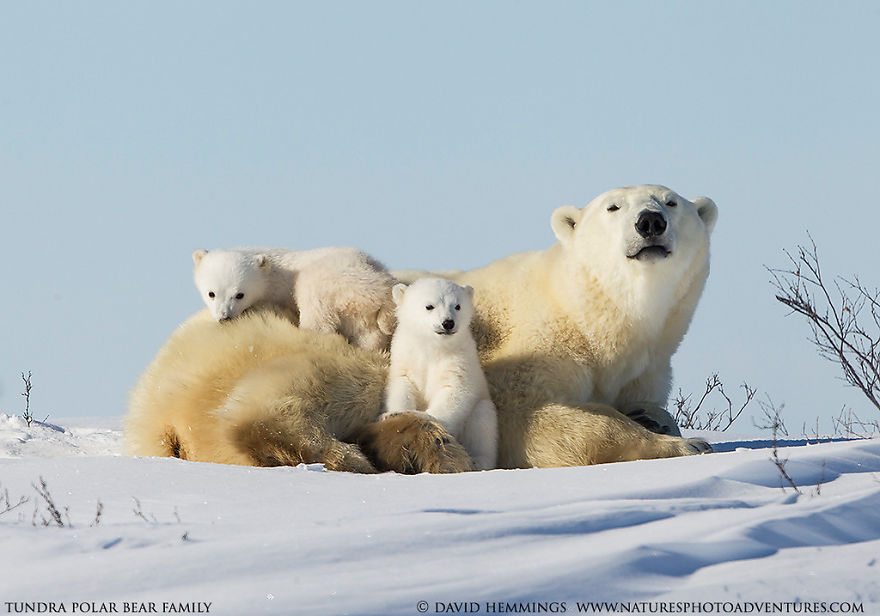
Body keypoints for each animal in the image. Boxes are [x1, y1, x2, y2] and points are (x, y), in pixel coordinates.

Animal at [382, 278, 498, 471]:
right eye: (429, 306)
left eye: (457, 306)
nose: (448, 323)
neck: (433, 347)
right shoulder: (406, 357)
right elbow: (402, 385)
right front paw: (394, 414)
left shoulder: (459, 360)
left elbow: (455, 391)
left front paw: (424, 417)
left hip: (480, 410)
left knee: (483, 424)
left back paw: (478, 460)